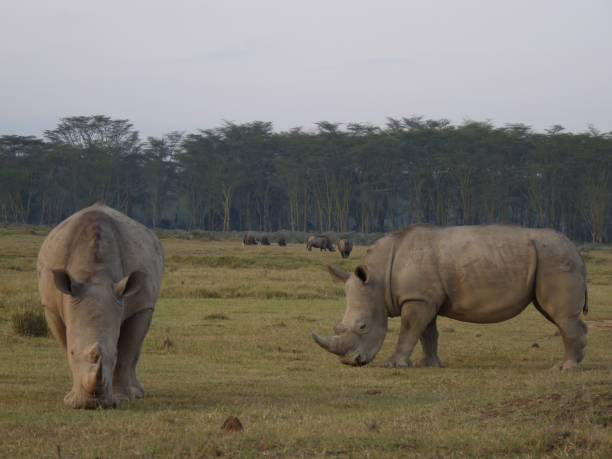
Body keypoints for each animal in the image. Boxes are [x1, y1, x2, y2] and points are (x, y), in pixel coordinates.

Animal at [37, 205, 164, 410]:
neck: (94, 274)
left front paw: (122, 398)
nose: (92, 404)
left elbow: (126, 352)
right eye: (73, 352)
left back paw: (137, 393)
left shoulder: (141, 304)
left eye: (113, 354)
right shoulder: (51, 307)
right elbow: (65, 344)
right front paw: (70, 398)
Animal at [316, 225, 588, 372]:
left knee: (561, 316)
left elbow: (408, 330)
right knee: (554, 314)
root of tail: (576, 249)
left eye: (363, 326)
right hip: (550, 259)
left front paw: (394, 365)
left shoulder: (417, 299)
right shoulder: (425, 298)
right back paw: (575, 362)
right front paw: (429, 364)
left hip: (554, 258)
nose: (350, 362)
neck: (379, 278)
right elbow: (426, 333)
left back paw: (564, 369)